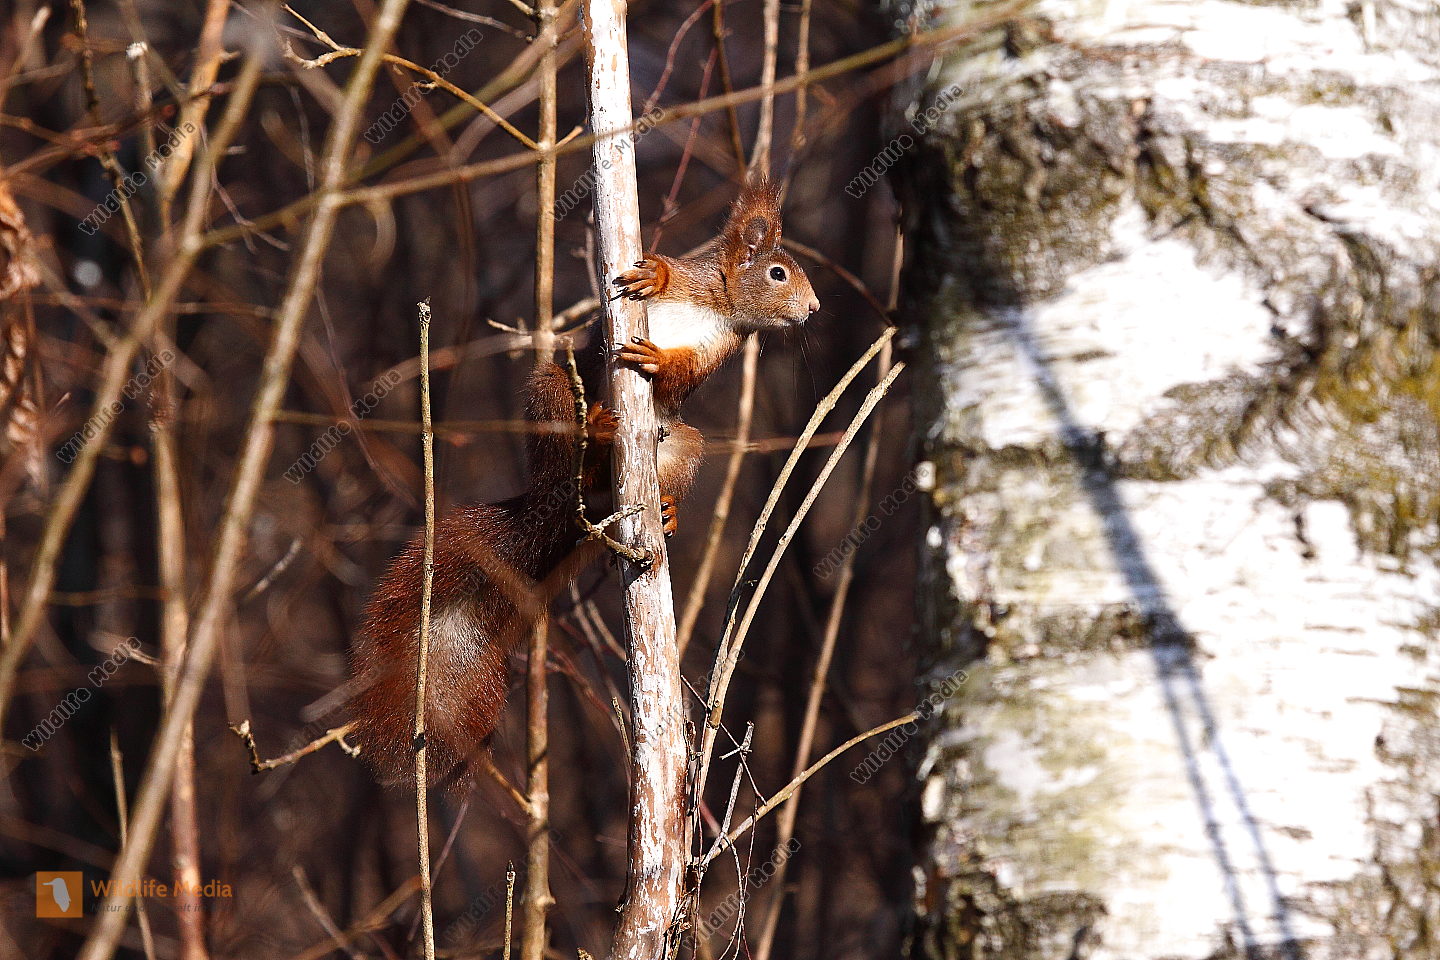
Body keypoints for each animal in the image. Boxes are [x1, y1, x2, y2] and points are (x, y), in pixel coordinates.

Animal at [347, 179, 819, 788]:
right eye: (778, 273)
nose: (813, 309)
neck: (716, 303)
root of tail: (561, 504)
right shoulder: (690, 280)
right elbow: (665, 272)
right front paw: (652, 275)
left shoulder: (718, 351)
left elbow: (682, 375)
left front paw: (660, 362)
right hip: (552, 394)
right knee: (563, 431)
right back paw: (593, 433)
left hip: (682, 444)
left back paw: (661, 508)